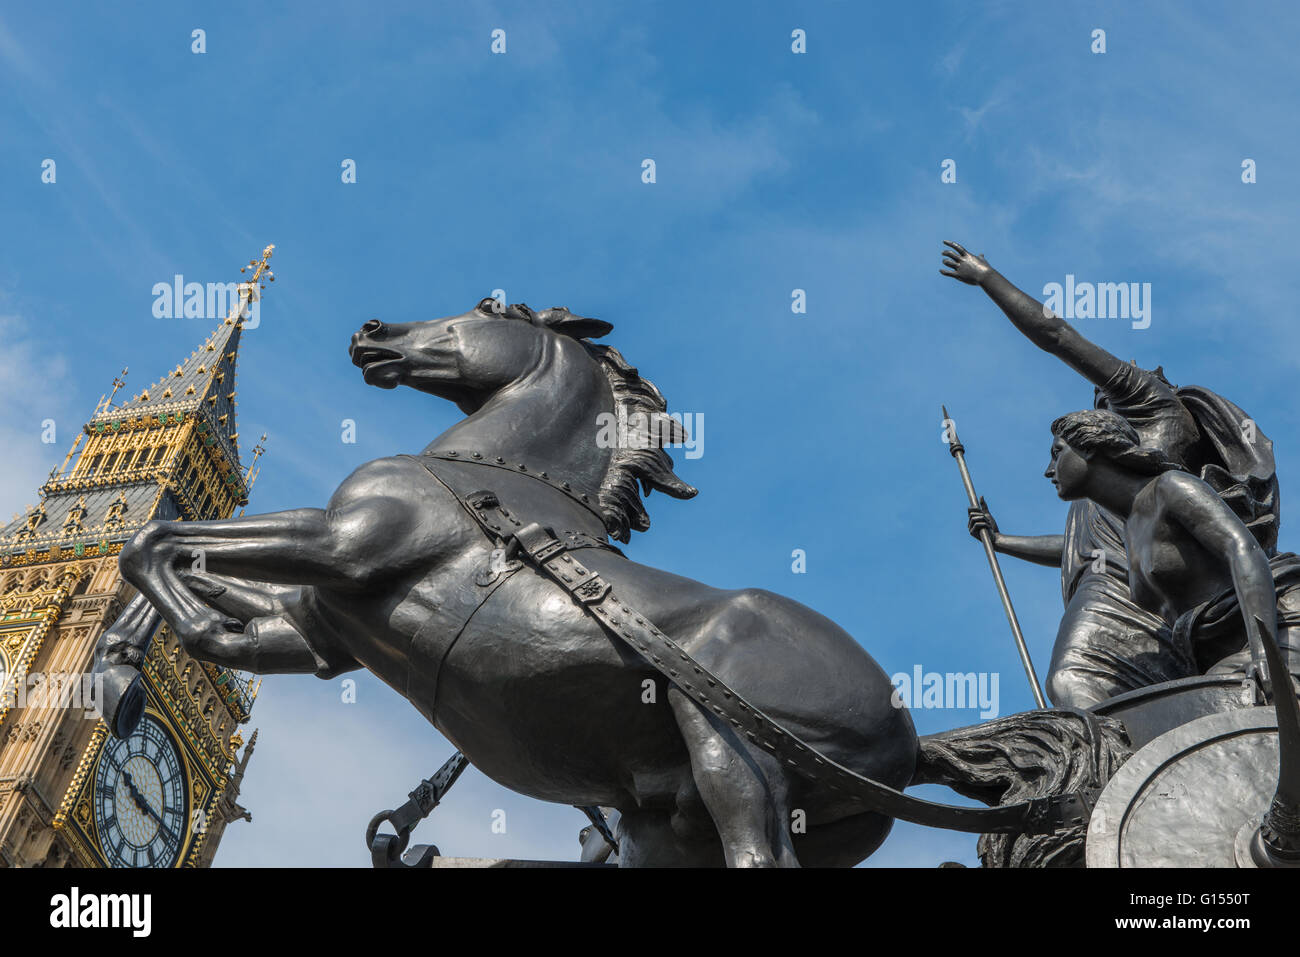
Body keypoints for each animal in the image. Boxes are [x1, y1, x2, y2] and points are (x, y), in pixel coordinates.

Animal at [101, 300, 920, 868]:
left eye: (489, 307)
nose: (372, 331)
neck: (491, 477)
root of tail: (908, 741)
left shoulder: (347, 542)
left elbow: (154, 542)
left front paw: (133, 673)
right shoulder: (325, 627)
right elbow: (183, 574)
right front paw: (131, 665)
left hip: (736, 754)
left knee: (759, 851)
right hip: (670, 826)